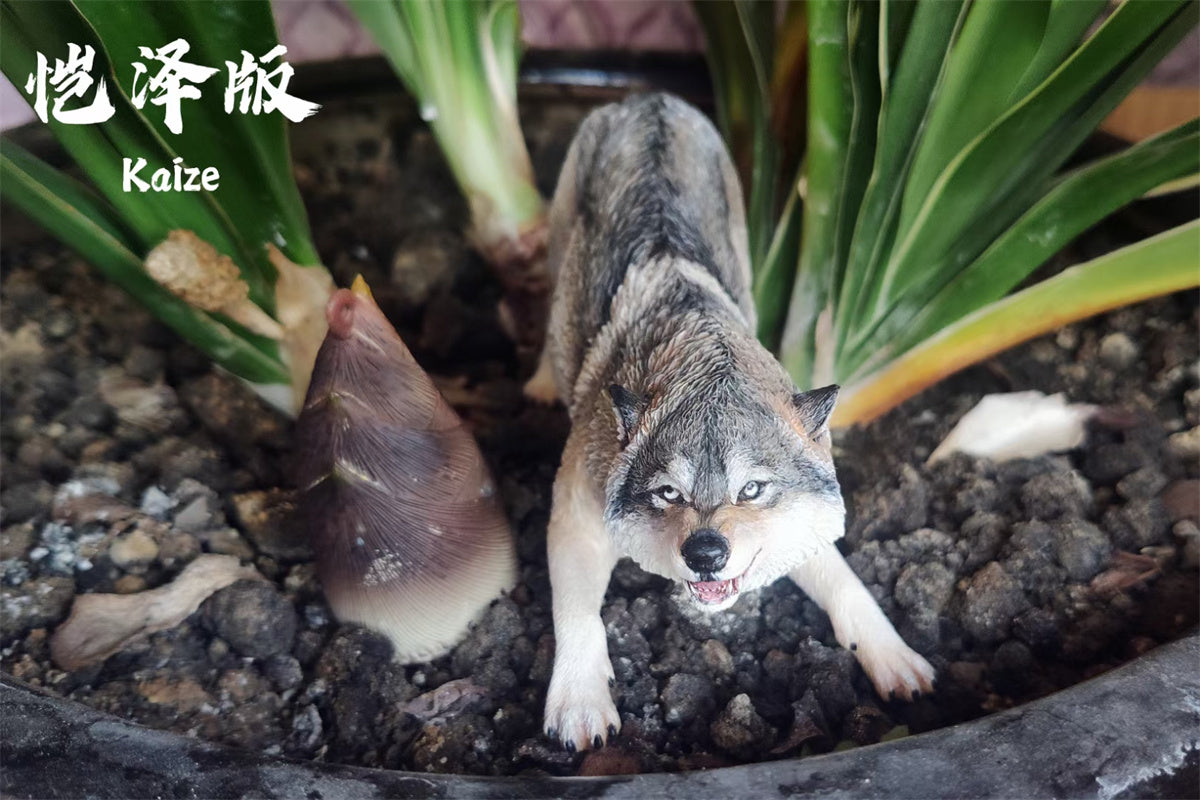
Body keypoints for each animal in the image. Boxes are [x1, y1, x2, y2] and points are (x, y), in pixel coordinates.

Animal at [526, 93, 935, 752]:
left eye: (752, 490)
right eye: (669, 493)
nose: (706, 553)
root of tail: (649, 100)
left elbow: (848, 585)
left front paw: (894, 659)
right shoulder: (575, 524)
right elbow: (579, 616)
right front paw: (580, 704)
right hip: (563, 247)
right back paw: (541, 380)